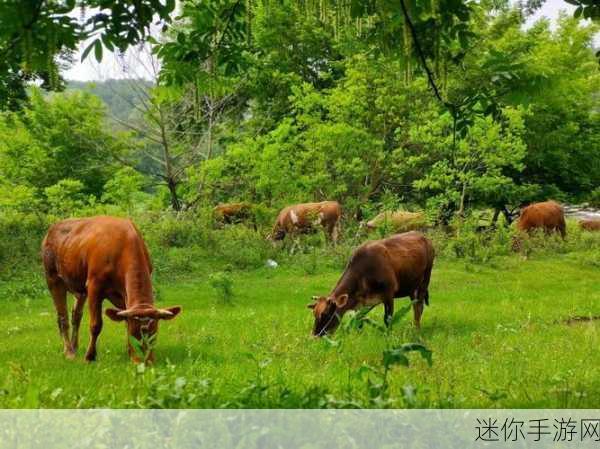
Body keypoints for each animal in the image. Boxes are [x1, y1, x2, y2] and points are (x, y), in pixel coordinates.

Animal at [42, 215, 180, 362]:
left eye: (154, 334)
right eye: (133, 333)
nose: (145, 361)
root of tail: (52, 229)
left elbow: (125, 320)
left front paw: (129, 352)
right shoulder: (94, 285)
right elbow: (96, 324)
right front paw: (90, 356)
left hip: (79, 286)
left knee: (76, 315)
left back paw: (75, 347)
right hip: (53, 278)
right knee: (62, 317)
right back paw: (69, 352)